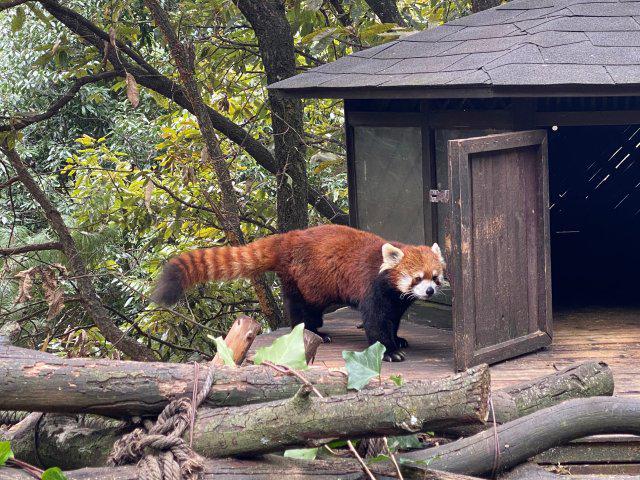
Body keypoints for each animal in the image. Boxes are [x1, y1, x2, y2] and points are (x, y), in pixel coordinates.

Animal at [153, 226, 448, 364]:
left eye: (435, 276)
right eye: (417, 278)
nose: (430, 290)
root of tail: (288, 238)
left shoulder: (395, 299)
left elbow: (393, 318)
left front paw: (398, 339)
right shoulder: (371, 287)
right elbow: (375, 321)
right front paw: (388, 350)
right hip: (301, 280)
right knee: (300, 309)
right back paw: (313, 331)